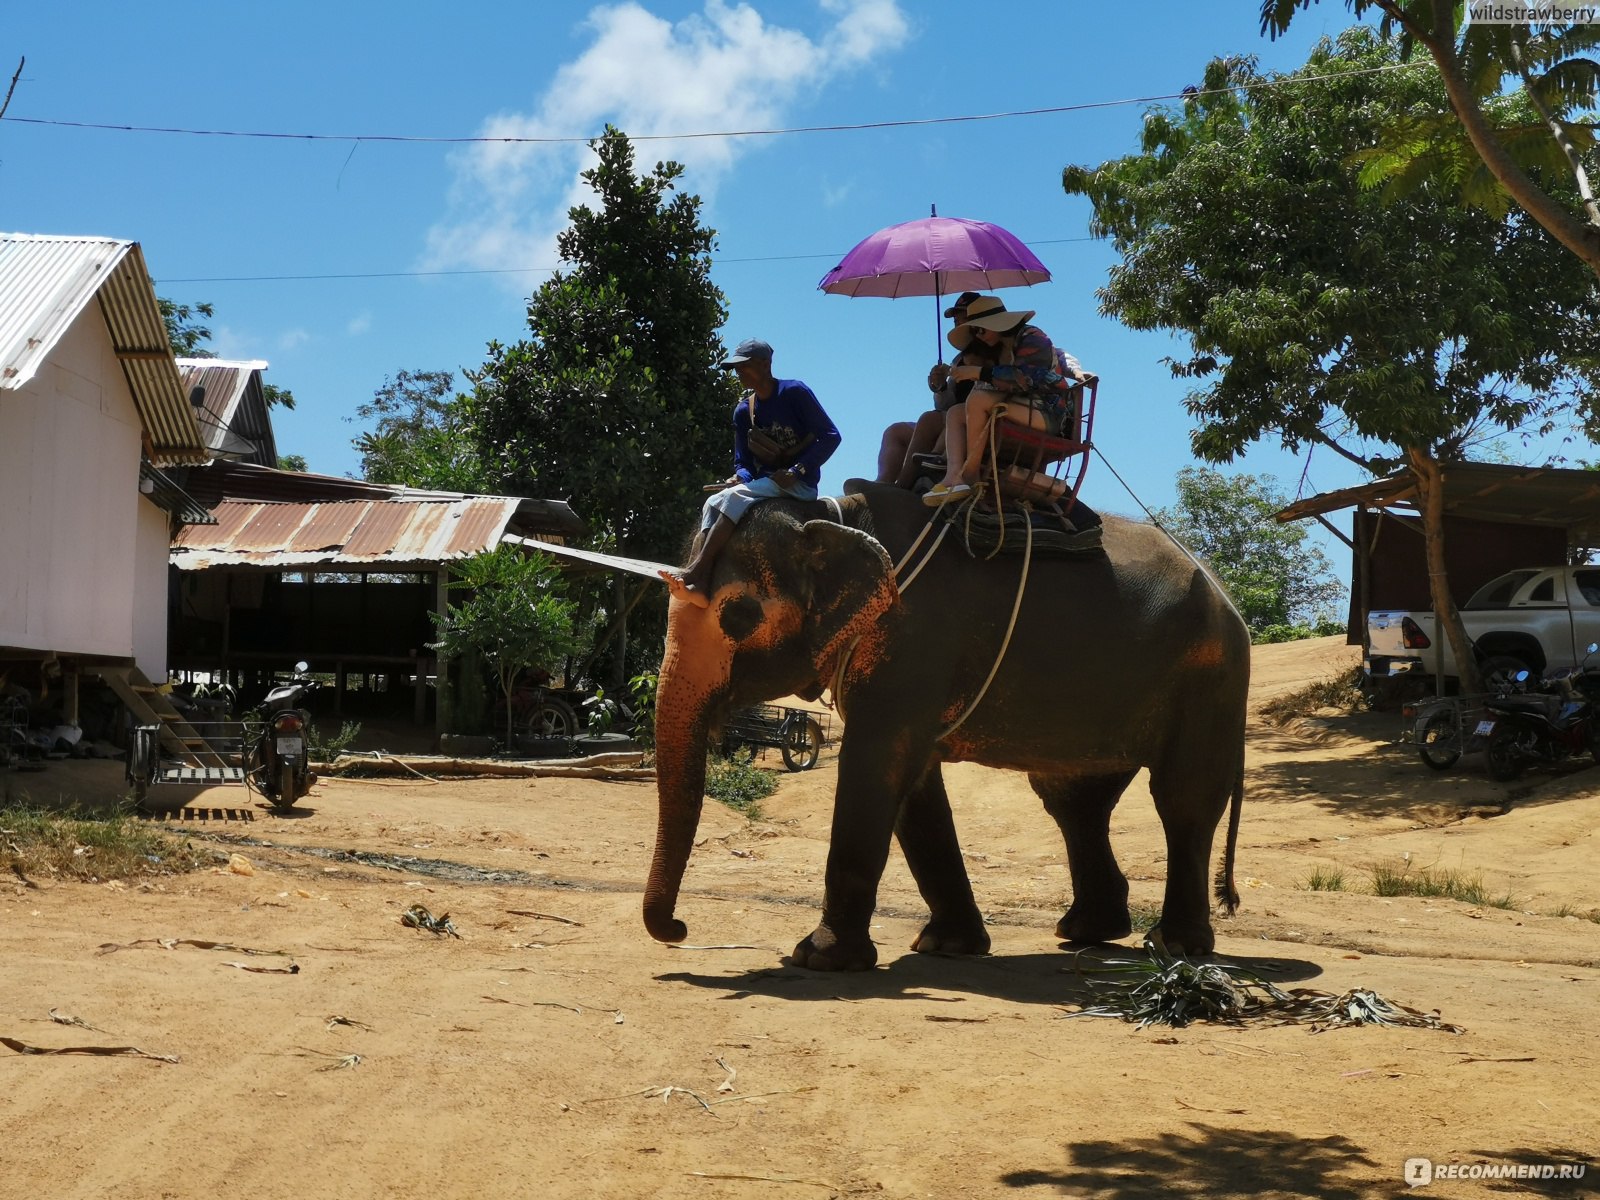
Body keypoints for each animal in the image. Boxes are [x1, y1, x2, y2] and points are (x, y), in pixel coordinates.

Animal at [649, 483, 1248, 972]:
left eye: (738, 616)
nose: (678, 929)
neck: (834, 516)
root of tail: (1226, 595)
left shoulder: (916, 644)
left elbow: (875, 766)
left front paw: (818, 959)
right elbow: (915, 788)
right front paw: (946, 947)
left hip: (1209, 680)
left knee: (1183, 798)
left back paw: (1174, 946)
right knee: (1073, 801)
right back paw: (1086, 932)